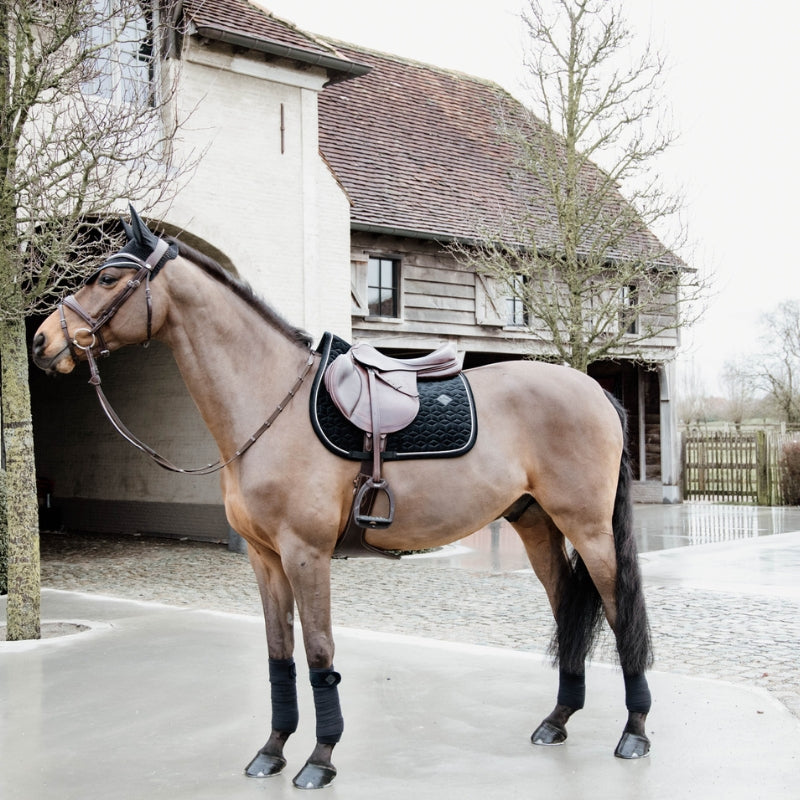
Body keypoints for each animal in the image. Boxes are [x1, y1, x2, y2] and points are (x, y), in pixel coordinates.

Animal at [32, 206, 656, 788]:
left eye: (108, 278)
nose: (42, 341)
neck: (269, 404)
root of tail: (596, 390)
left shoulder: (306, 555)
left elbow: (319, 653)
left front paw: (320, 758)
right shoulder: (265, 559)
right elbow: (279, 653)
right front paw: (272, 751)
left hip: (590, 530)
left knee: (619, 613)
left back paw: (634, 733)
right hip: (536, 525)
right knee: (567, 608)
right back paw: (557, 720)